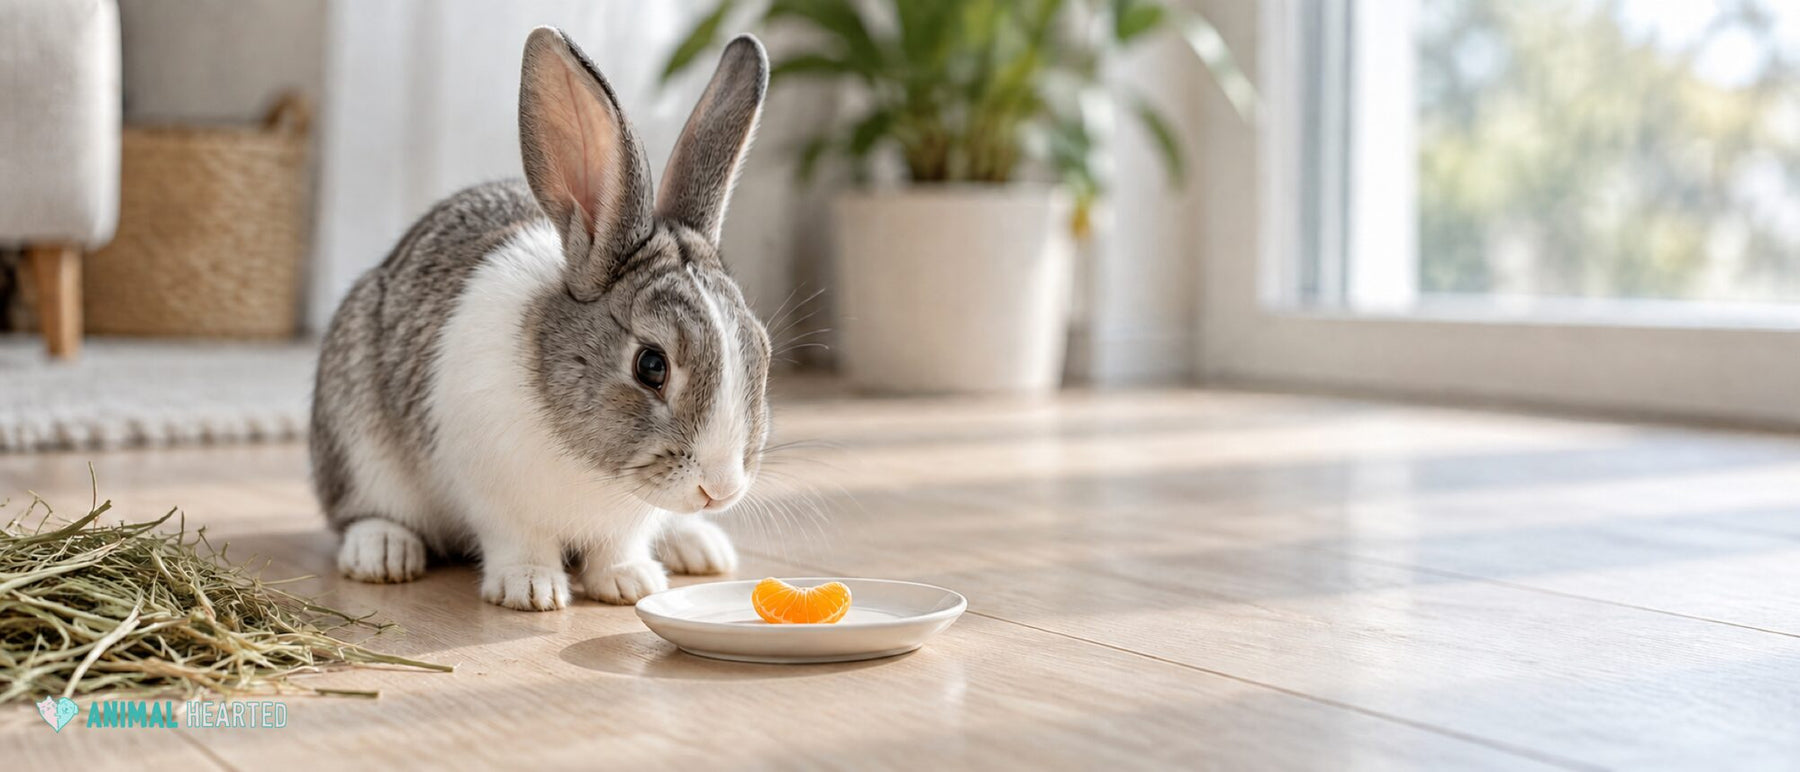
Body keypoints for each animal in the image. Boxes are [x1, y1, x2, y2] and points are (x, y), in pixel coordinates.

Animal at [309, 27, 773, 611]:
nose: (721, 488)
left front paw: (629, 582)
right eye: (651, 365)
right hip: (357, 443)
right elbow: (519, 541)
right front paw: (531, 590)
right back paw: (384, 552)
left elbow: (618, 546)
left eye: (762, 351)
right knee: (361, 513)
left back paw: (700, 546)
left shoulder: (627, 522)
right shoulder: (495, 497)